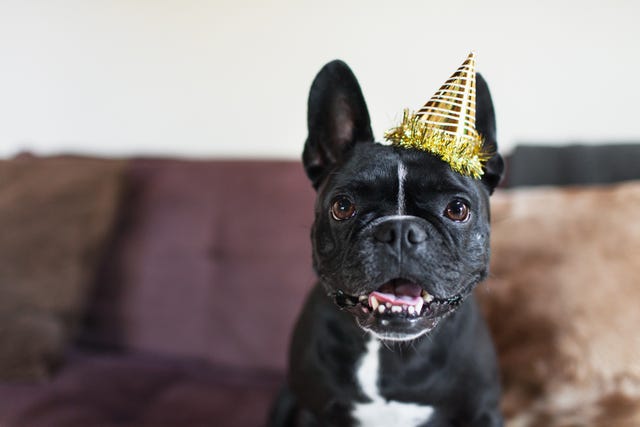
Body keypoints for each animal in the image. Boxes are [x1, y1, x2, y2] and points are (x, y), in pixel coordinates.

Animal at [270, 60, 504, 427]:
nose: (400, 231)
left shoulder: (483, 411)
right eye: (343, 206)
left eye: (457, 209)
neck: (387, 351)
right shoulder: (311, 410)